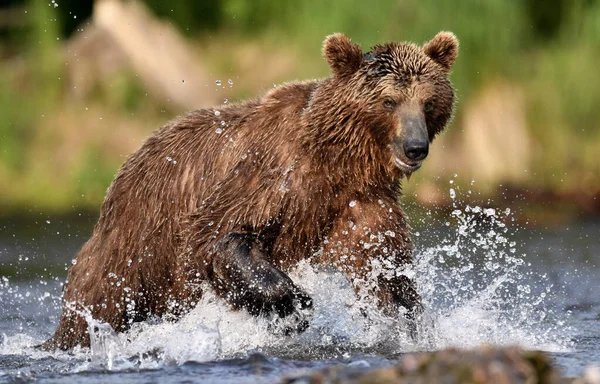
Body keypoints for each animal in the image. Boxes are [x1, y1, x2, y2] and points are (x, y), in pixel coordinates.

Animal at [43, 32, 460, 352]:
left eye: (428, 102)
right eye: (388, 101)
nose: (415, 147)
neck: (337, 160)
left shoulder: (359, 204)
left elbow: (385, 269)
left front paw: (412, 324)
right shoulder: (270, 174)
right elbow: (217, 233)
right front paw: (294, 306)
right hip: (137, 243)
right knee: (97, 302)